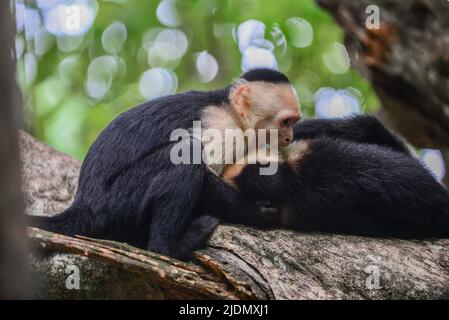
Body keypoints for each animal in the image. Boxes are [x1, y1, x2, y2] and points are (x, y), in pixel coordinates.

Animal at [29, 68, 300, 260]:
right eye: (285, 122)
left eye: (294, 123)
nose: (289, 138)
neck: (232, 112)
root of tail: (84, 204)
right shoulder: (221, 127)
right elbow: (206, 177)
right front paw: (255, 212)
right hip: (116, 203)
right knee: (186, 154)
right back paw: (168, 248)